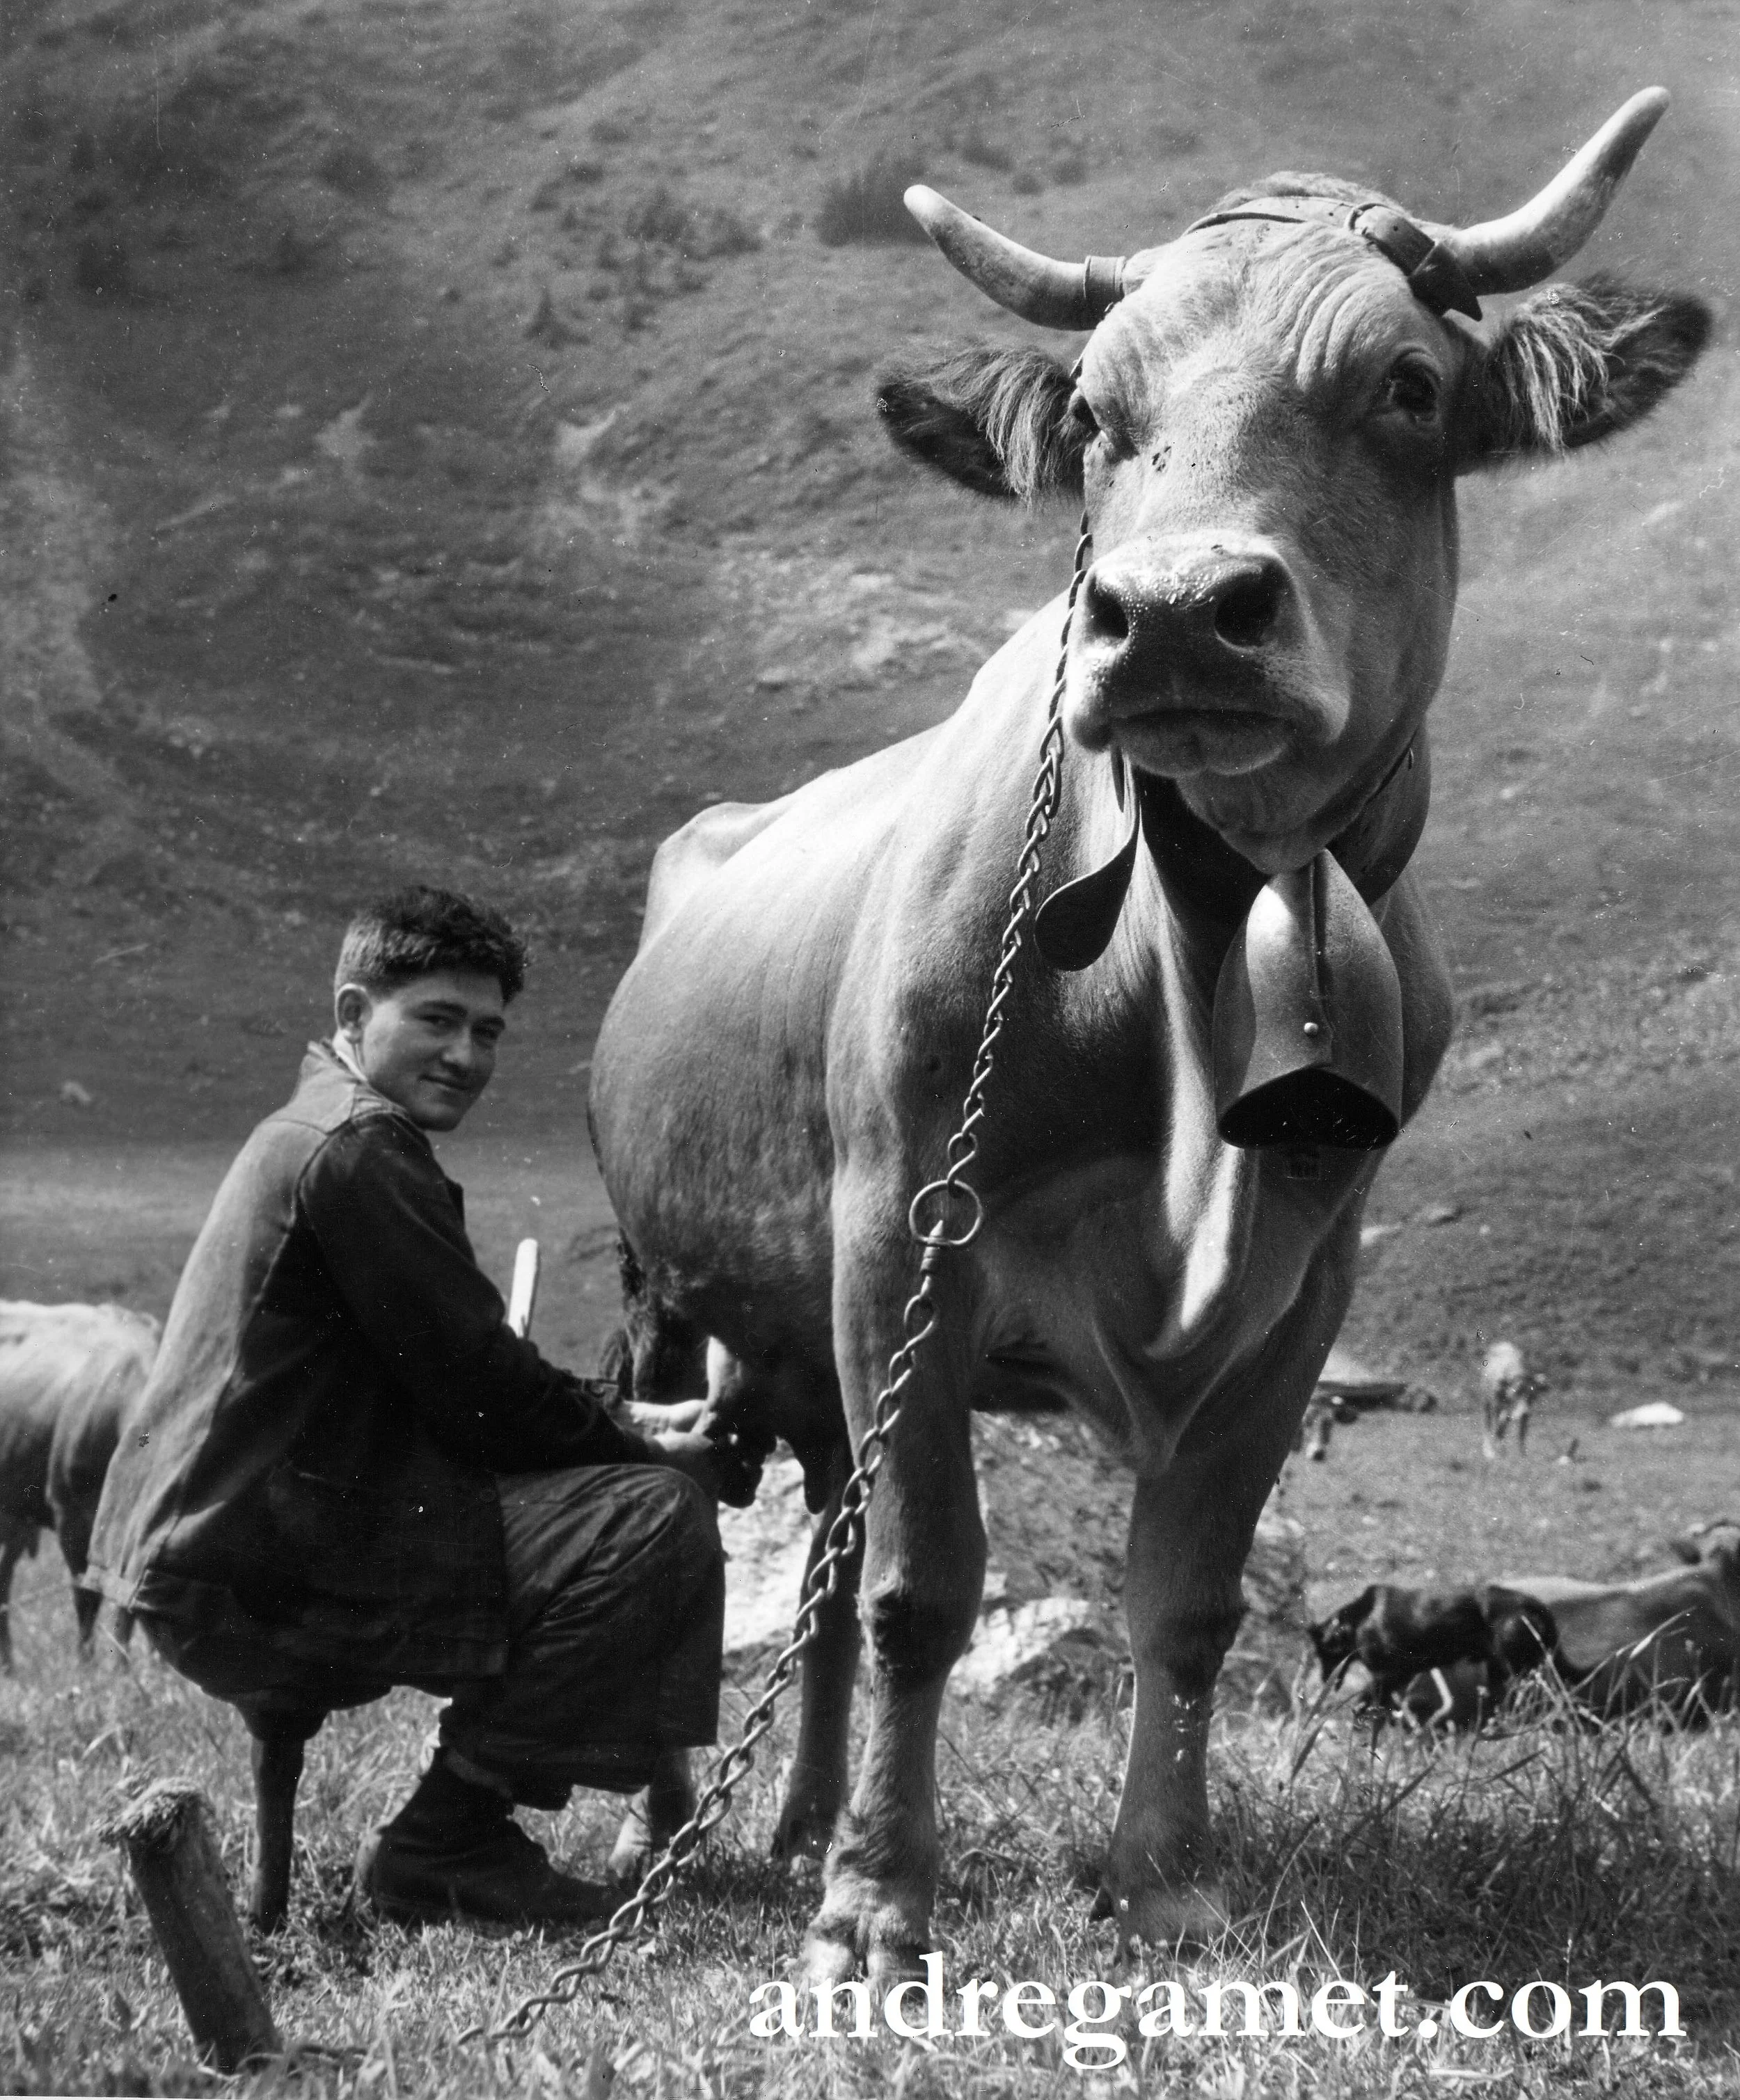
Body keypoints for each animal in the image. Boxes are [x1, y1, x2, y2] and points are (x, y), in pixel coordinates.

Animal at [1309, 1580, 1560, 1719]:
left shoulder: (1389, 1674)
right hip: (1513, 1667)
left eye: (1322, 1652)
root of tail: (1537, 1606)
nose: (1324, 1679)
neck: (1358, 1620)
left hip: (1517, 1669)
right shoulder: (1399, 1676)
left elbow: (1365, 1702)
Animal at [1481, 1339, 1544, 1458]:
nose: (1523, 1412)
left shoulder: (1525, 1413)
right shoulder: (1496, 1405)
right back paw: (1490, 1450)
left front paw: (1523, 1454)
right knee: (1489, 1424)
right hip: (1488, 1403)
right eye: (1517, 1393)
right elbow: (1497, 1428)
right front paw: (1493, 1452)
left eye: (1532, 1395)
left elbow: (1521, 1433)